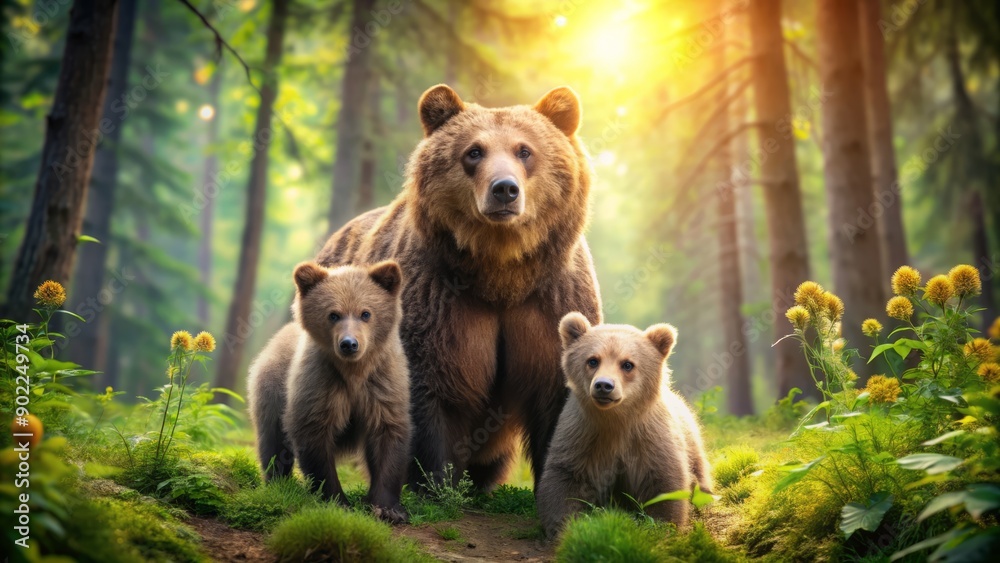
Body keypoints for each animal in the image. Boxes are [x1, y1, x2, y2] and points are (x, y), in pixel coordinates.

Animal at [246, 260, 410, 523]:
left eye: (366, 313)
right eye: (333, 314)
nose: (349, 344)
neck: (354, 372)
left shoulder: (382, 383)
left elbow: (388, 434)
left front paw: (388, 508)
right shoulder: (320, 383)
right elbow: (314, 438)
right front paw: (337, 501)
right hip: (272, 389)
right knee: (272, 442)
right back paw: (278, 483)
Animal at [315, 84, 602, 491]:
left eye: (524, 150)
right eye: (474, 151)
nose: (504, 189)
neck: (501, 271)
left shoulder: (551, 299)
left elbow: (558, 389)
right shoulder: (439, 298)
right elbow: (432, 386)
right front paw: (435, 482)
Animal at [536, 313, 713, 538]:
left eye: (627, 364)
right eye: (593, 360)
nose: (604, 385)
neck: (616, 420)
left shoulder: (650, 437)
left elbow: (664, 481)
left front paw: (663, 524)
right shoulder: (581, 434)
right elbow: (564, 476)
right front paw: (564, 525)